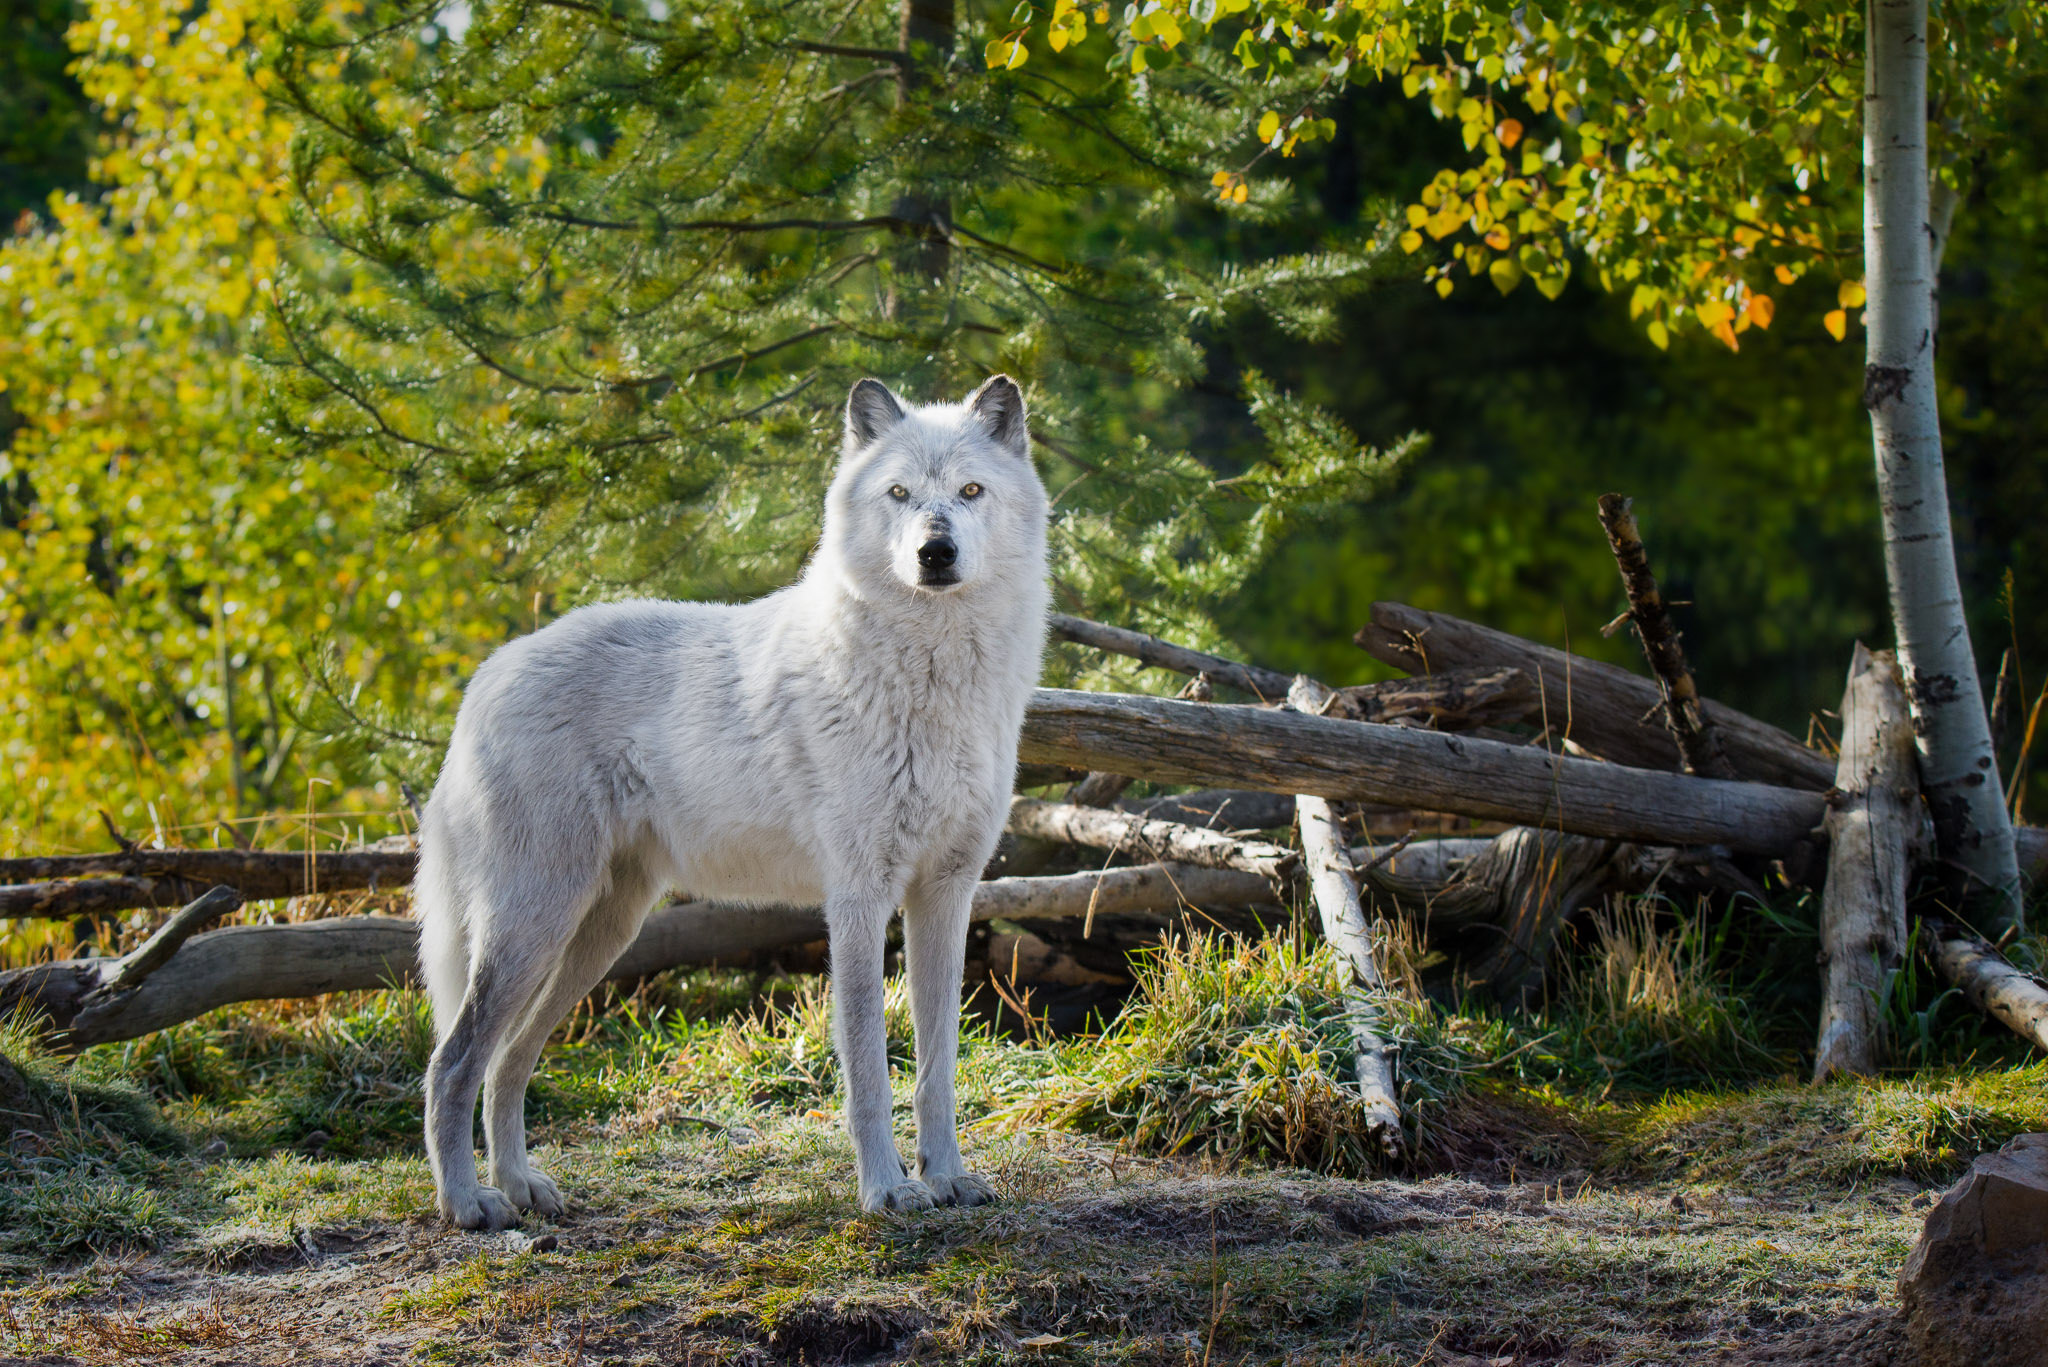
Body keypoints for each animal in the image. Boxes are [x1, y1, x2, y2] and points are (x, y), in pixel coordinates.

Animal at [417, 375, 1056, 1229]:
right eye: (898, 493)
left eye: (970, 491)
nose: (935, 552)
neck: (932, 679)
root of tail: (485, 676)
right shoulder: (857, 898)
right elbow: (868, 1071)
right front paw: (887, 1190)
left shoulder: (946, 895)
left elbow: (937, 1068)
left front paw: (948, 1177)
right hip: (535, 922)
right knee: (451, 1063)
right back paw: (468, 1202)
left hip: (595, 934)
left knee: (506, 1063)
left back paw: (523, 1187)